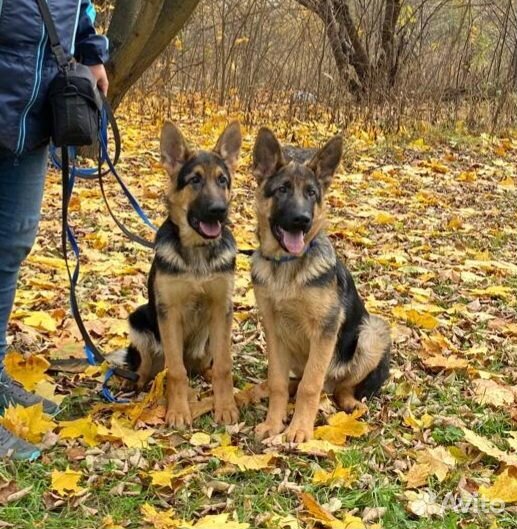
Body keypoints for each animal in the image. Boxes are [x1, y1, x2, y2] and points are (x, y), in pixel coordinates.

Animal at [123, 119, 242, 424]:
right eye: (195, 180)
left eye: (222, 180)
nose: (219, 211)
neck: (198, 252)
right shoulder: (169, 312)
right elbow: (175, 371)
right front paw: (177, 410)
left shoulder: (221, 307)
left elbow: (224, 365)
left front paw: (225, 405)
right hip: (139, 317)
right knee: (151, 365)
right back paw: (135, 383)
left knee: (205, 364)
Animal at [251, 127, 392, 442]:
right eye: (282, 190)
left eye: (311, 193)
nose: (302, 220)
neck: (287, 266)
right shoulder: (274, 330)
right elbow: (278, 382)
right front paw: (273, 423)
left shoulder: (325, 331)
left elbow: (309, 386)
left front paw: (299, 429)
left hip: (371, 333)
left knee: (339, 387)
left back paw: (350, 402)